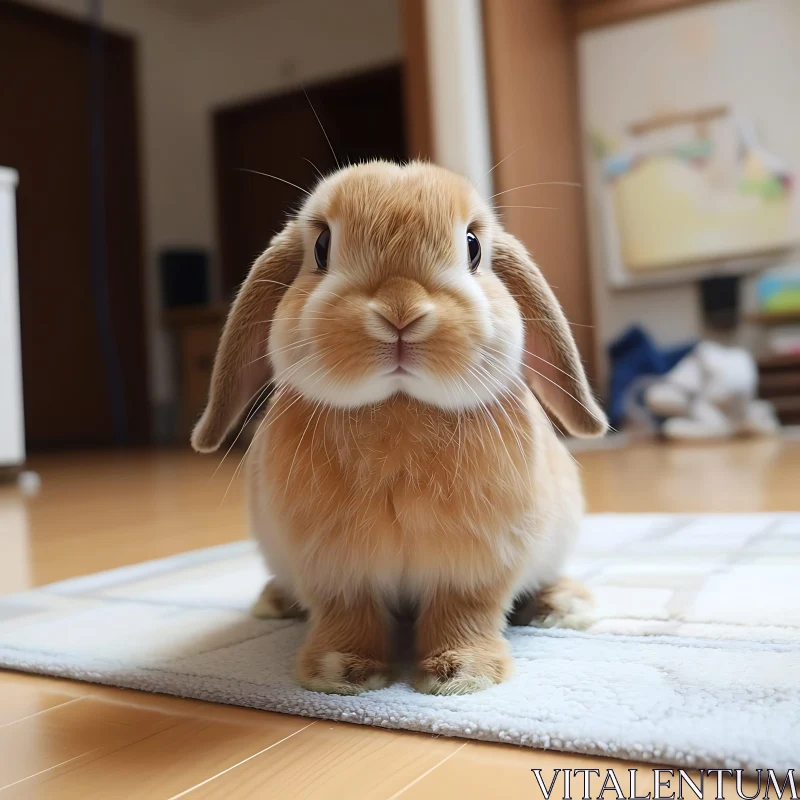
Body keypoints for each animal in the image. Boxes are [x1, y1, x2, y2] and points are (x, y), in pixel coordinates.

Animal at [194, 161, 608, 692]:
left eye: (473, 247)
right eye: (322, 247)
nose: (400, 310)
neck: (399, 408)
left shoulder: (473, 567)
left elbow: (463, 612)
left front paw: (461, 674)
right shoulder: (337, 572)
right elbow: (348, 616)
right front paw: (342, 673)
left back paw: (562, 605)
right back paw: (275, 602)